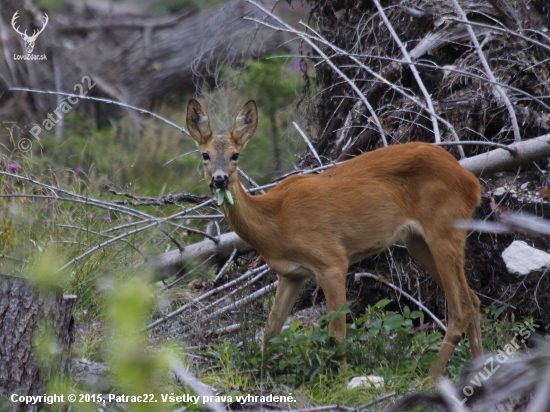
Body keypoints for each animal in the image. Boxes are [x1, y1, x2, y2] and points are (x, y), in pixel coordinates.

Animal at [188, 99, 486, 376]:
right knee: (473, 299)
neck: (274, 222)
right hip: (418, 241)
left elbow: (338, 333)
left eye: (235, 155)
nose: (219, 180)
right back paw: (478, 370)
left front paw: (341, 380)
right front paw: (260, 376)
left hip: (444, 229)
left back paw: (431, 378)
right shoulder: (291, 274)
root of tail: (472, 182)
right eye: (205, 155)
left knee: (460, 307)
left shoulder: (331, 260)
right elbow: (270, 332)